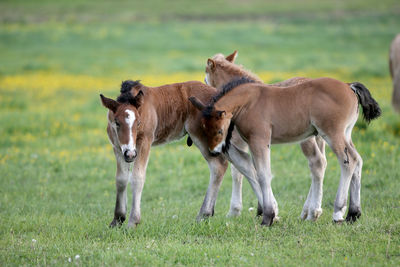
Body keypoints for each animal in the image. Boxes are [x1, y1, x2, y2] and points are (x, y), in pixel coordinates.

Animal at [197, 50, 328, 222]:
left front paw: (235, 211)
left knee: (317, 163)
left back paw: (313, 212)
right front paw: (263, 209)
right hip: (320, 137)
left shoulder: (238, 141)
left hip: (307, 139)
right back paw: (307, 211)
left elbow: (239, 171)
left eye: (206, 78)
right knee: (322, 164)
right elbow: (253, 168)